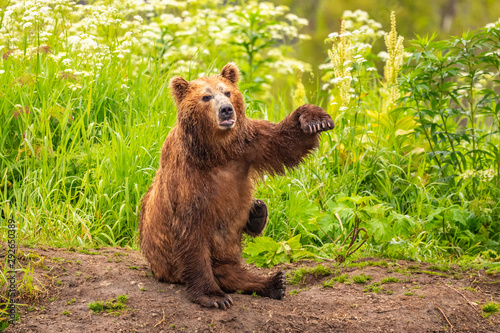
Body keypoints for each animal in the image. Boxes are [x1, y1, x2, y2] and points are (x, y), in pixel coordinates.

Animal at [139, 62, 334, 308]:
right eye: (206, 97)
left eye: (227, 92)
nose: (226, 110)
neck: (215, 151)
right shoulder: (186, 178)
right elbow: (192, 233)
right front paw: (214, 297)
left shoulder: (247, 142)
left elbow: (285, 143)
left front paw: (315, 118)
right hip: (170, 264)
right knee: (222, 270)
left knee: (235, 269)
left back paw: (274, 279)